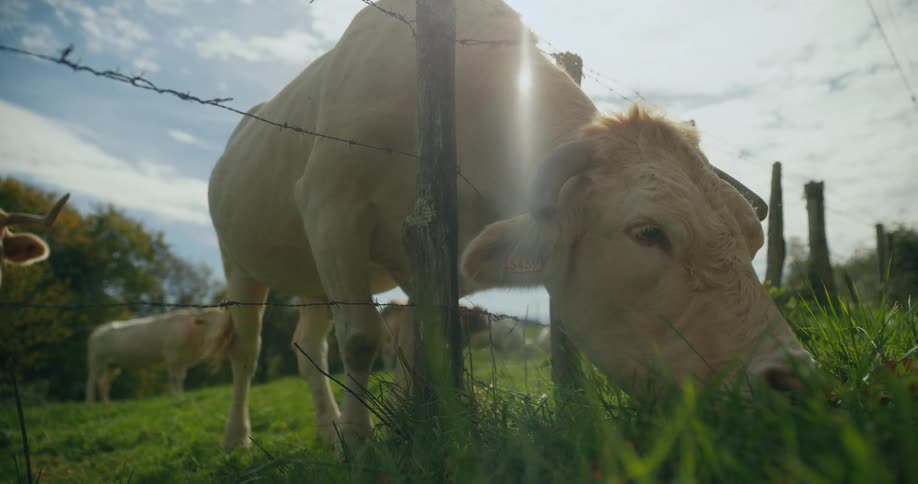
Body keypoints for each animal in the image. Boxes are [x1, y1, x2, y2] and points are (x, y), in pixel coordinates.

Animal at [85, 308, 224, 403]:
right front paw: (174, 395)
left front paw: (180, 394)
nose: (217, 336)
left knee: (103, 382)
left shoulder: (181, 360)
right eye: (206, 322)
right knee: (91, 381)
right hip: (96, 360)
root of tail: (98, 330)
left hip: (112, 364)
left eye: (223, 323)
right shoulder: (171, 355)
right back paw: (90, 403)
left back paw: (106, 403)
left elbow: (181, 378)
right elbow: (174, 378)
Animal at [206, 0, 813, 452]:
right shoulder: (331, 208)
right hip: (241, 262)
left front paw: (415, 422)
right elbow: (360, 340)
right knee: (250, 350)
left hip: (311, 276)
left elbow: (424, 342)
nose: (793, 377)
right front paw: (359, 444)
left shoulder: (431, 256)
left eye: (753, 240)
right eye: (647, 232)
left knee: (307, 345)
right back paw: (239, 439)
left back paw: (324, 426)